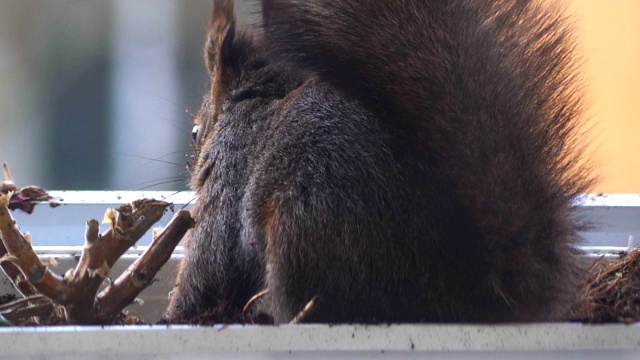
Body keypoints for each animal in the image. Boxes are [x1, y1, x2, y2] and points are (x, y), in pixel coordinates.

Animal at [166, 0, 596, 324]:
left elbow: (207, 265)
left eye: (195, 132)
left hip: (299, 229)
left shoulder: (228, 177)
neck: (258, 101)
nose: (190, 167)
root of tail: (464, 296)